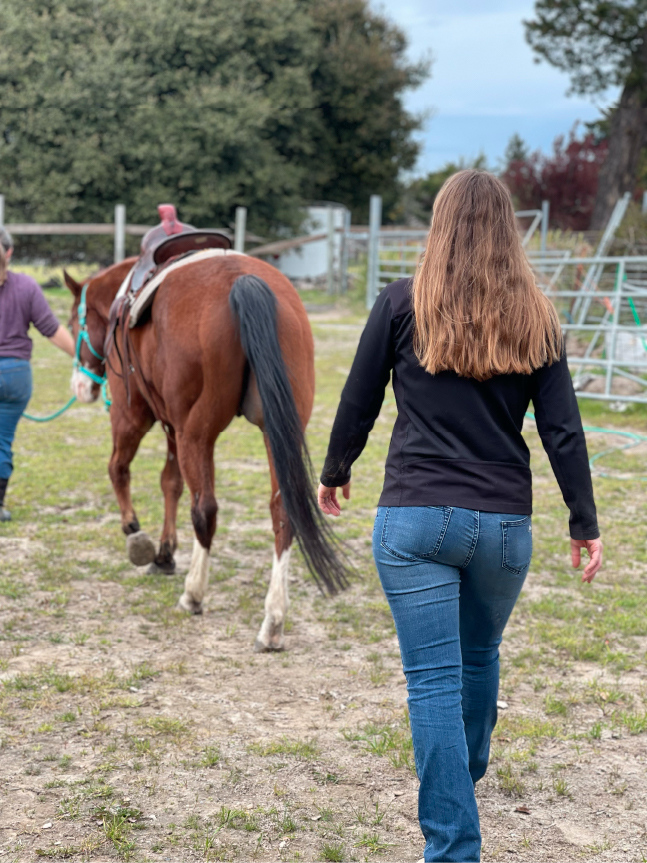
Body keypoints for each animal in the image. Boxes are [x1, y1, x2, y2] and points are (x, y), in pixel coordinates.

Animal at [65, 253, 346, 652]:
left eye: (74, 323)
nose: (81, 386)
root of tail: (243, 281)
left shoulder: (132, 414)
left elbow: (118, 469)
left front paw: (136, 536)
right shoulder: (173, 427)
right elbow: (171, 483)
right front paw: (164, 553)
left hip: (195, 433)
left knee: (205, 509)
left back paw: (193, 594)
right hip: (274, 430)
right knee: (282, 511)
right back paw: (273, 620)